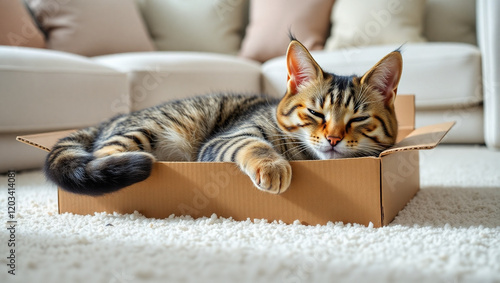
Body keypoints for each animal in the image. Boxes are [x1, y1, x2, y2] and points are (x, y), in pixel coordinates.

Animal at [44, 38, 402, 196]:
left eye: (358, 119)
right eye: (315, 112)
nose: (333, 138)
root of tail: (108, 120)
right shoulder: (229, 138)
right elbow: (254, 145)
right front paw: (273, 166)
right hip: (143, 133)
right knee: (103, 158)